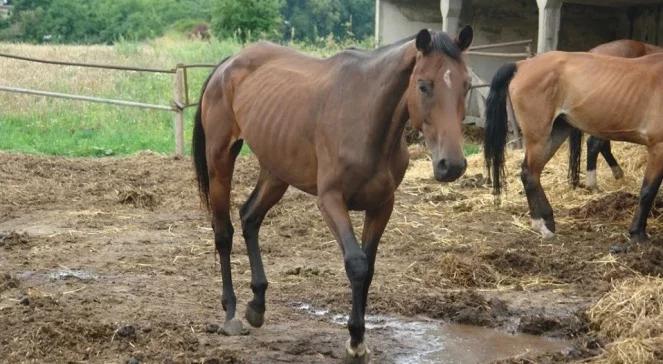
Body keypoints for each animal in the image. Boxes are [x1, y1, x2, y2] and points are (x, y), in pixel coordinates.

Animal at [191, 26, 472, 362]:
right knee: (224, 233)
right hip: (220, 161)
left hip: (276, 170)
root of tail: (228, 63)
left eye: (467, 85)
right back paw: (231, 313)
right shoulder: (331, 201)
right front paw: (355, 341)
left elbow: (369, 267)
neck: (366, 120)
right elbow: (356, 264)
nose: (451, 165)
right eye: (424, 85)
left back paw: (257, 305)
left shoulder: (382, 205)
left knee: (250, 218)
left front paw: (359, 340)